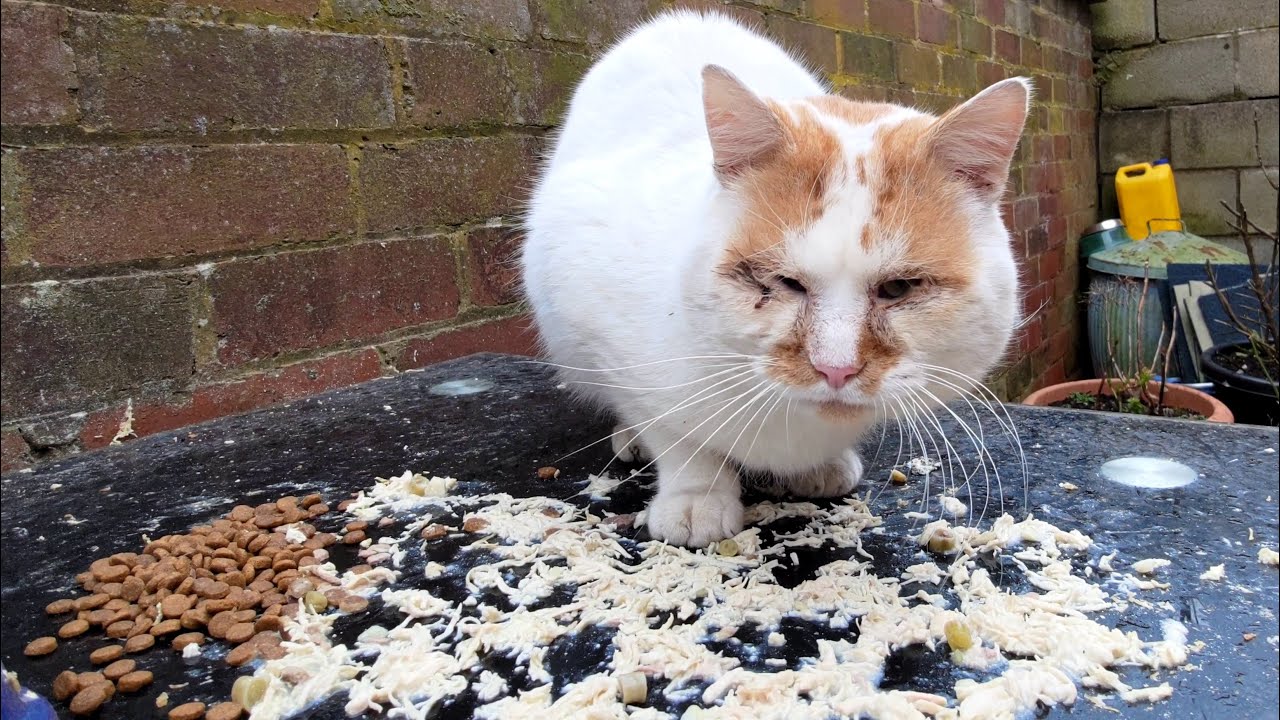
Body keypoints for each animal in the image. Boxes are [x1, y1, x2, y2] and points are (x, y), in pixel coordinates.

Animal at [521, 10, 1029, 547]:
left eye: (898, 288)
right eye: (786, 283)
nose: (836, 370)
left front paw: (820, 467)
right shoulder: (601, 322)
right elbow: (678, 436)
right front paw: (696, 497)